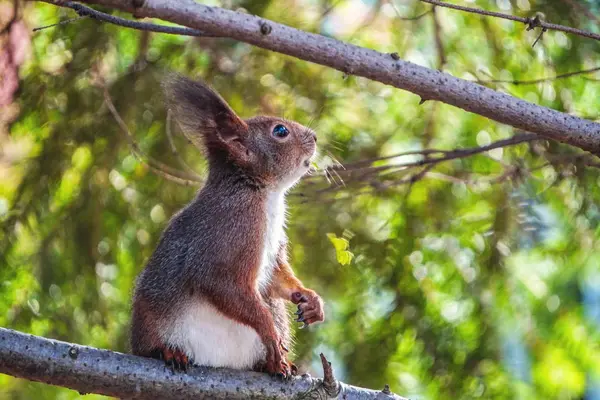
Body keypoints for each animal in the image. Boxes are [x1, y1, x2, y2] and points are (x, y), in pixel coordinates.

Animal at [127, 75, 324, 378]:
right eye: (280, 131)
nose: (315, 137)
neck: (263, 193)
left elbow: (278, 276)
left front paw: (310, 300)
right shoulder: (233, 229)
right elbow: (220, 282)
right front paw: (268, 331)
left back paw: (271, 364)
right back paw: (167, 351)